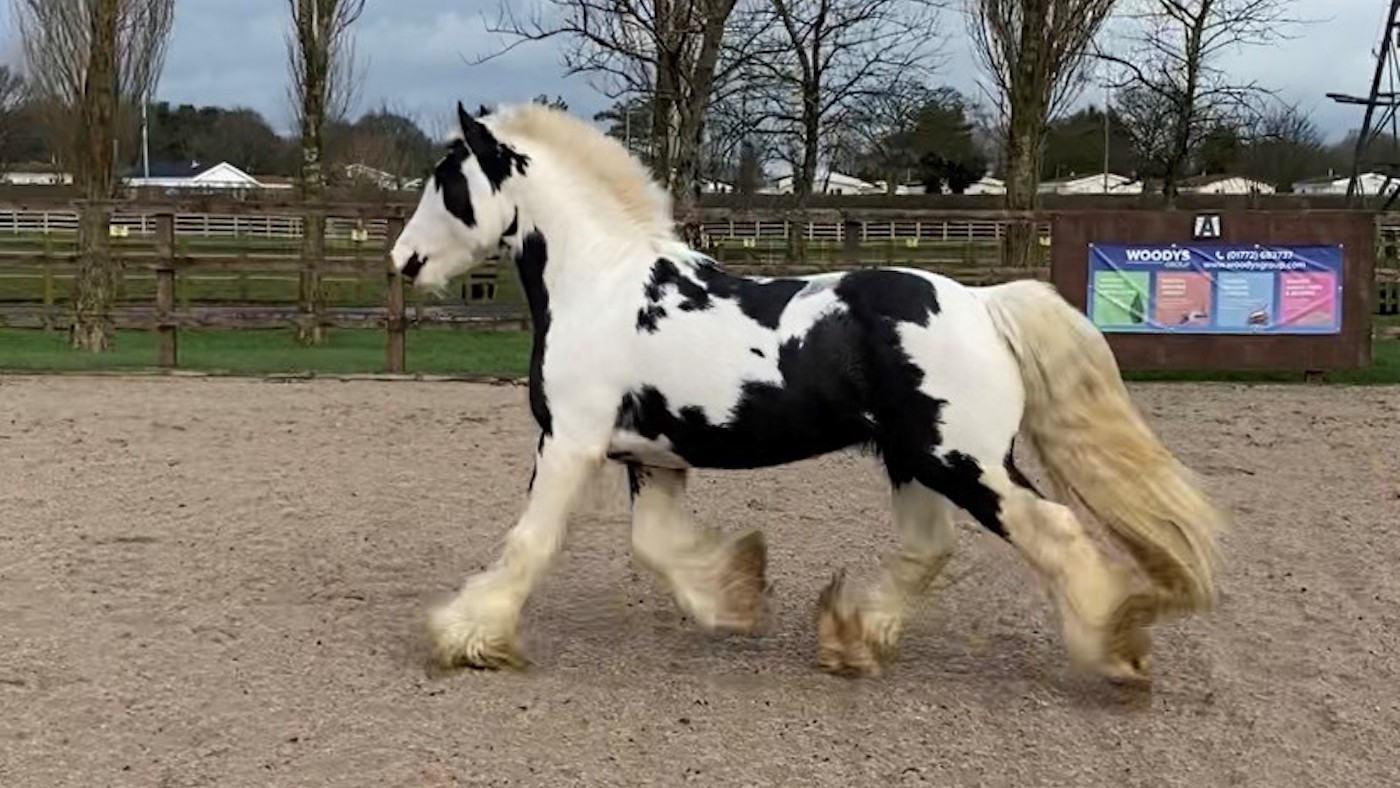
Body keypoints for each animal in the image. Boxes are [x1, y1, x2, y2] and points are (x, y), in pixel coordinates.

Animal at [389, 100, 1228, 683]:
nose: (403, 260)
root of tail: (983, 303)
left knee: (1052, 530)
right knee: (928, 548)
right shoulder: (652, 457)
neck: (602, 284)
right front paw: (736, 597)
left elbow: (531, 541)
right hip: (911, 461)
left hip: (965, 462)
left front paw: (466, 636)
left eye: (449, 181)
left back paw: (1115, 647)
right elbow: (656, 547)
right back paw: (851, 638)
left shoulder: (571, 441)